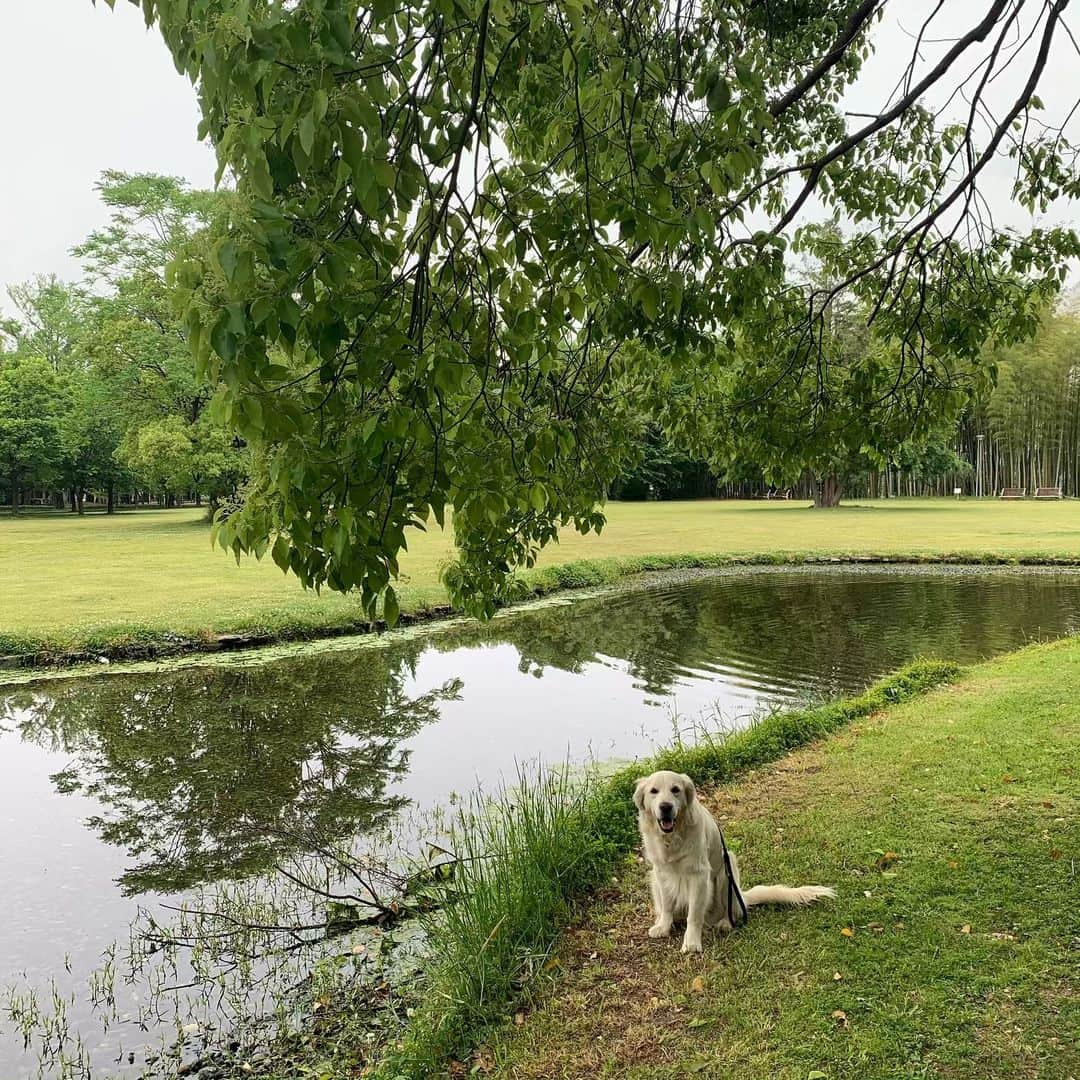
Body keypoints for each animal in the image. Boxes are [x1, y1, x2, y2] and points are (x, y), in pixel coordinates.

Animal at [630, 768, 833, 954]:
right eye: (654, 791)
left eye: (675, 790)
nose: (665, 807)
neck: (672, 837)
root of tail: (742, 896)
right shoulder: (661, 872)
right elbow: (667, 905)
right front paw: (663, 926)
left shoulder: (699, 875)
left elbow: (694, 914)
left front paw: (692, 943)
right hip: (654, 880)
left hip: (726, 876)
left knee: (731, 911)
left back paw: (725, 924)